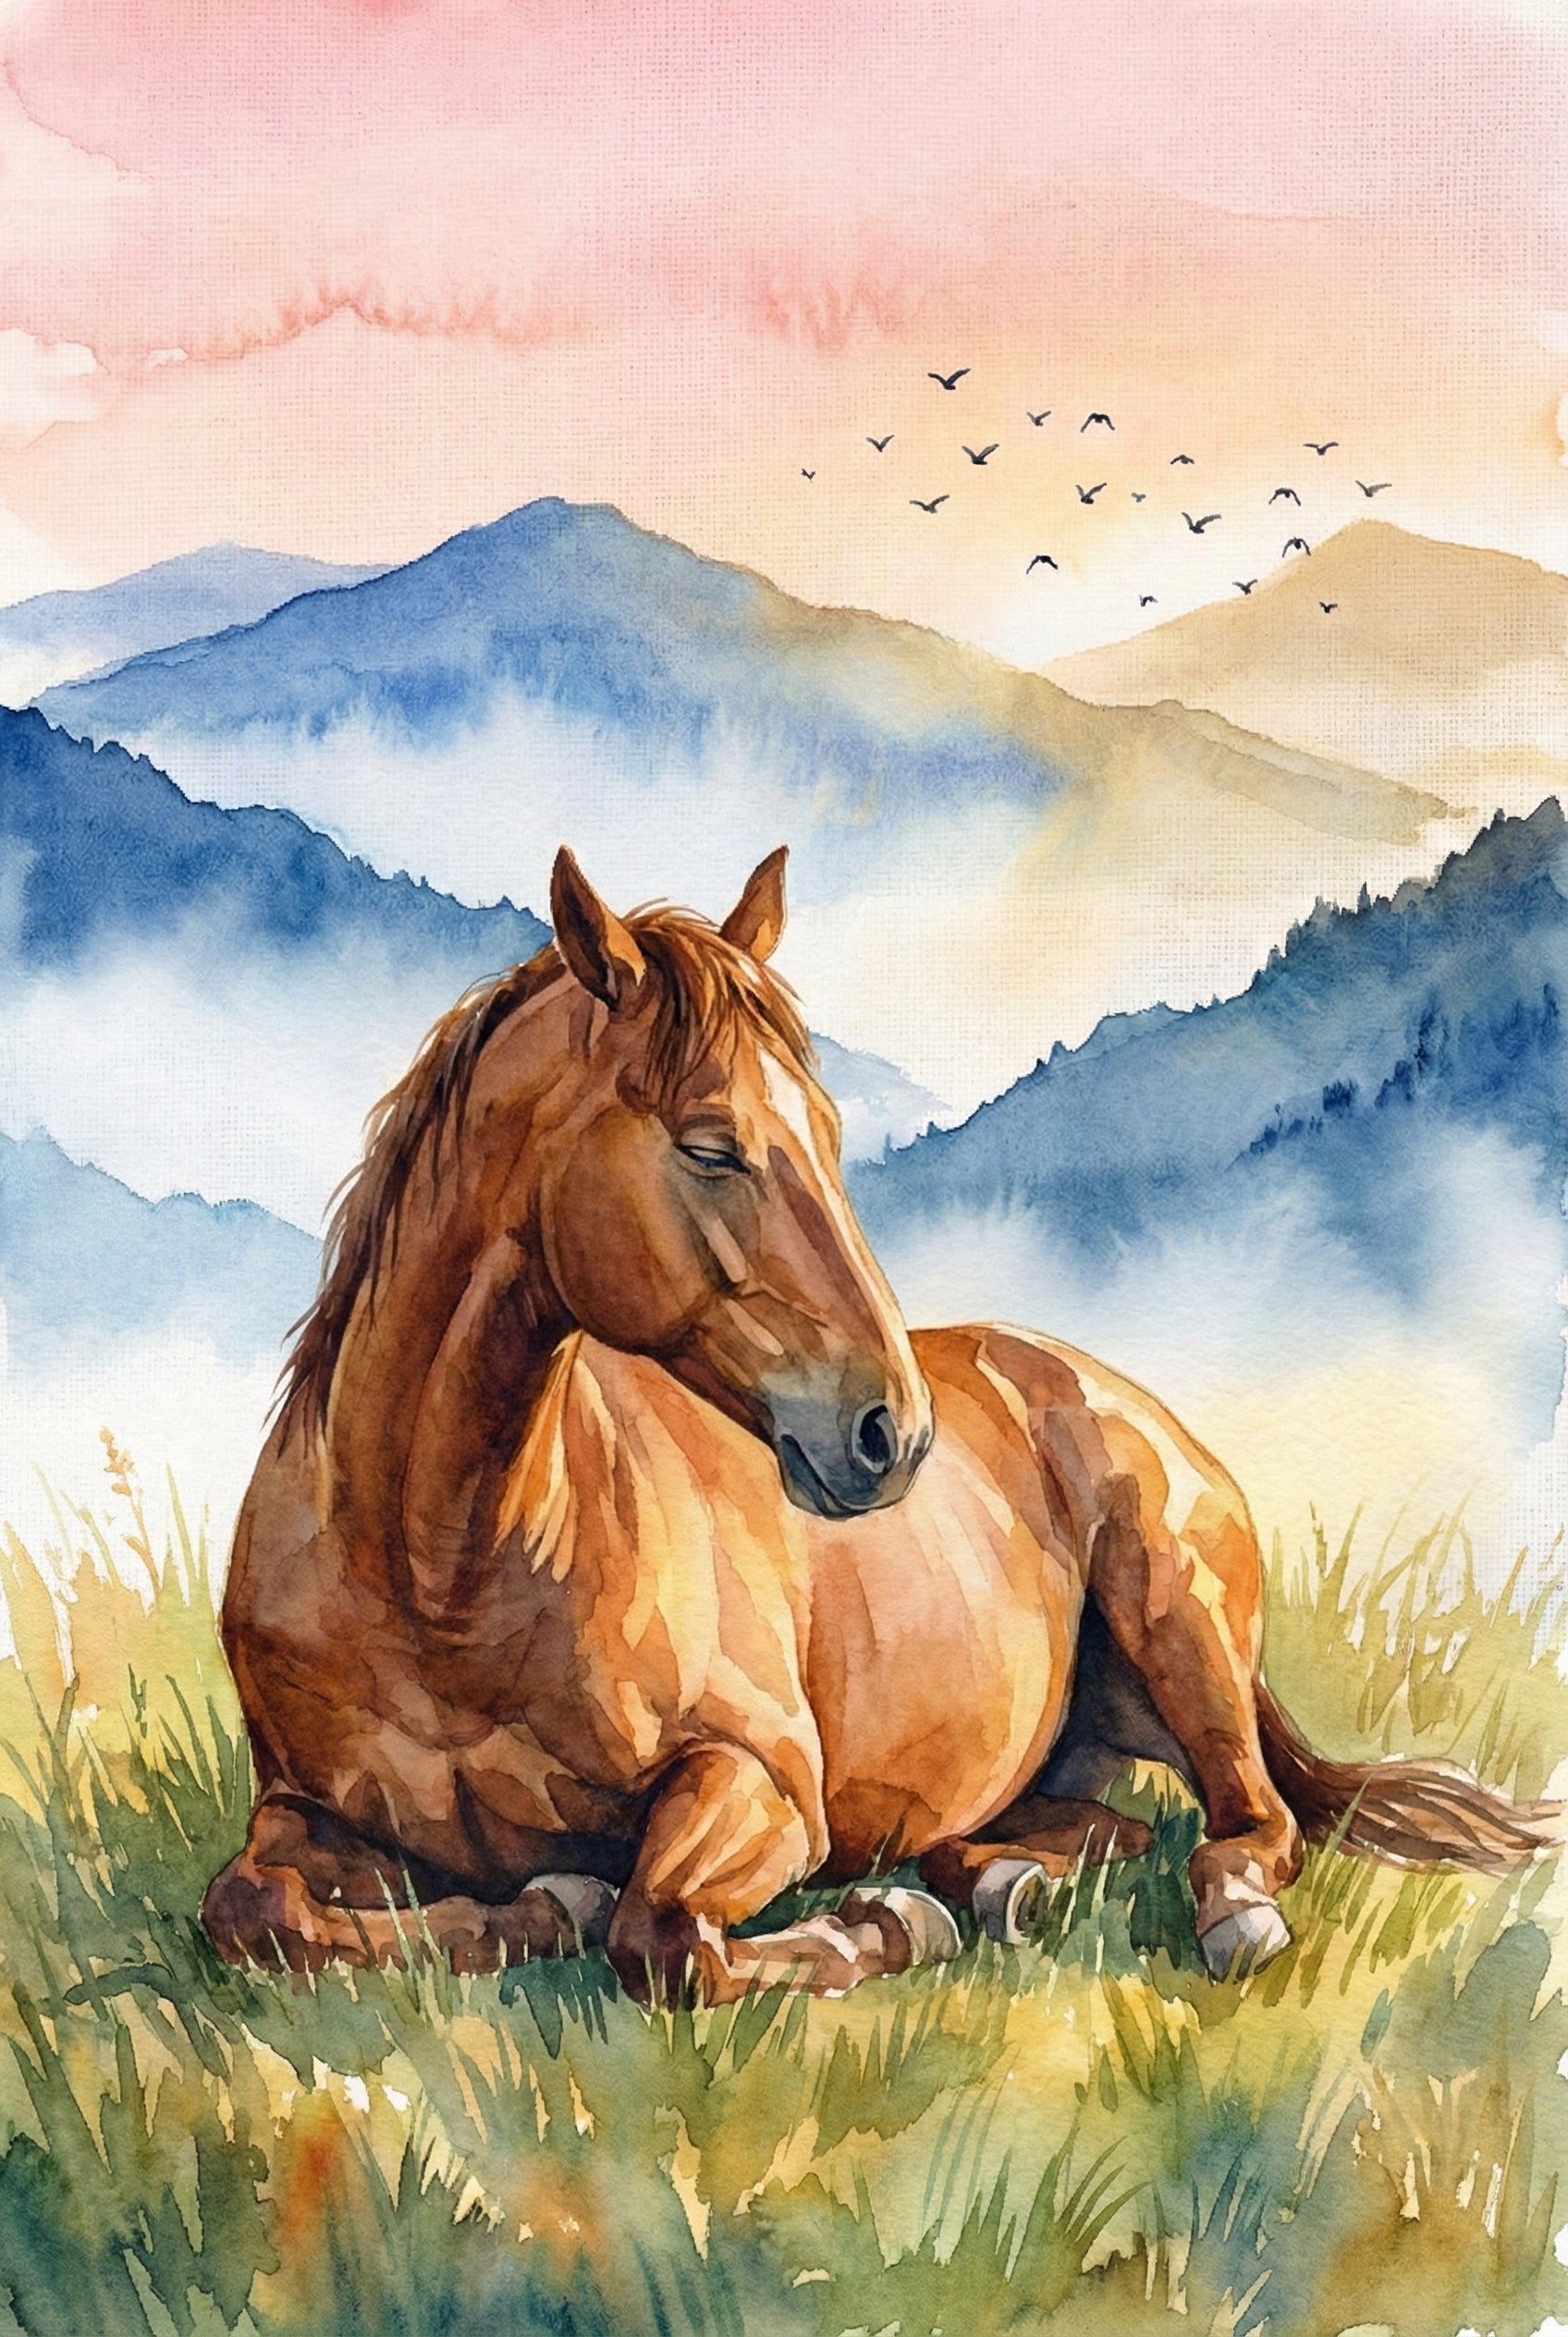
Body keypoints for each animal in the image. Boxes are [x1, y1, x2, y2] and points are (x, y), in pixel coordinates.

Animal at [203, 846, 1558, 2000]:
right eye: (712, 1145)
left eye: (832, 1133)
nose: (888, 1432)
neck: (439, 1577)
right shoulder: (299, 1809)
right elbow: (255, 1910)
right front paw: (539, 1905)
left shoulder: (760, 1784)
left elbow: (662, 1936)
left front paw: (869, 1929)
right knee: (1080, 1829)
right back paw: (997, 1884)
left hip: (1179, 1622)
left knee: (1249, 1823)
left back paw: (1192, 1910)